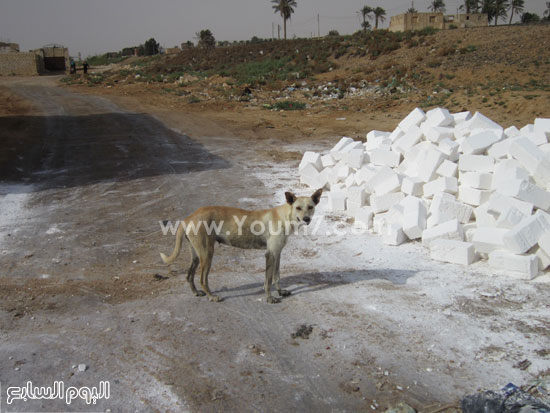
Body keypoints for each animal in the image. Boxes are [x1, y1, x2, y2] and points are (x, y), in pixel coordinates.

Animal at [160, 189, 324, 302]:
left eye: (310, 207)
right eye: (298, 208)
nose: (306, 219)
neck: (285, 217)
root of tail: (188, 218)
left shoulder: (277, 253)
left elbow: (276, 276)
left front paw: (281, 291)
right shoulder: (270, 254)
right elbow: (268, 280)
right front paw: (269, 298)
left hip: (196, 255)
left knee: (189, 276)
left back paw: (195, 292)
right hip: (207, 255)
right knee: (203, 280)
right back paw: (212, 297)